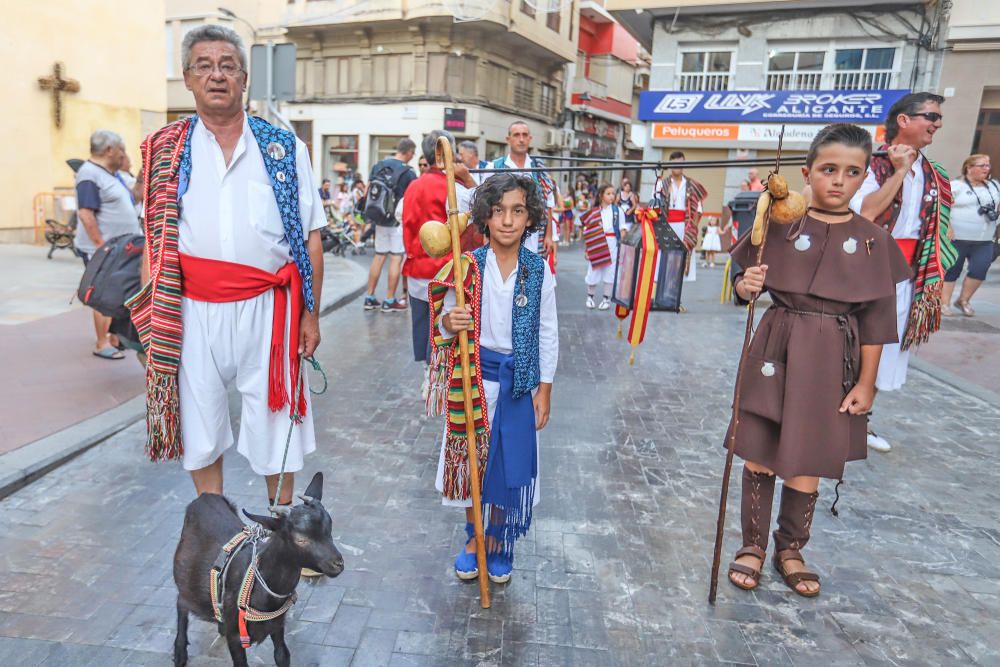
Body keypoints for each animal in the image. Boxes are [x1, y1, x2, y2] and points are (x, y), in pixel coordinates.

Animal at [172, 472, 344, 664]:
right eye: (300, 539)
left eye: (329, 526)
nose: (338, 564)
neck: (258, 584)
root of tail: (204, 497)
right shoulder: (236, 637)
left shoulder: (277, 625)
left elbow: (282, 655)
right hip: (187, 579)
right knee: (181, 601)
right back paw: (179, 652)